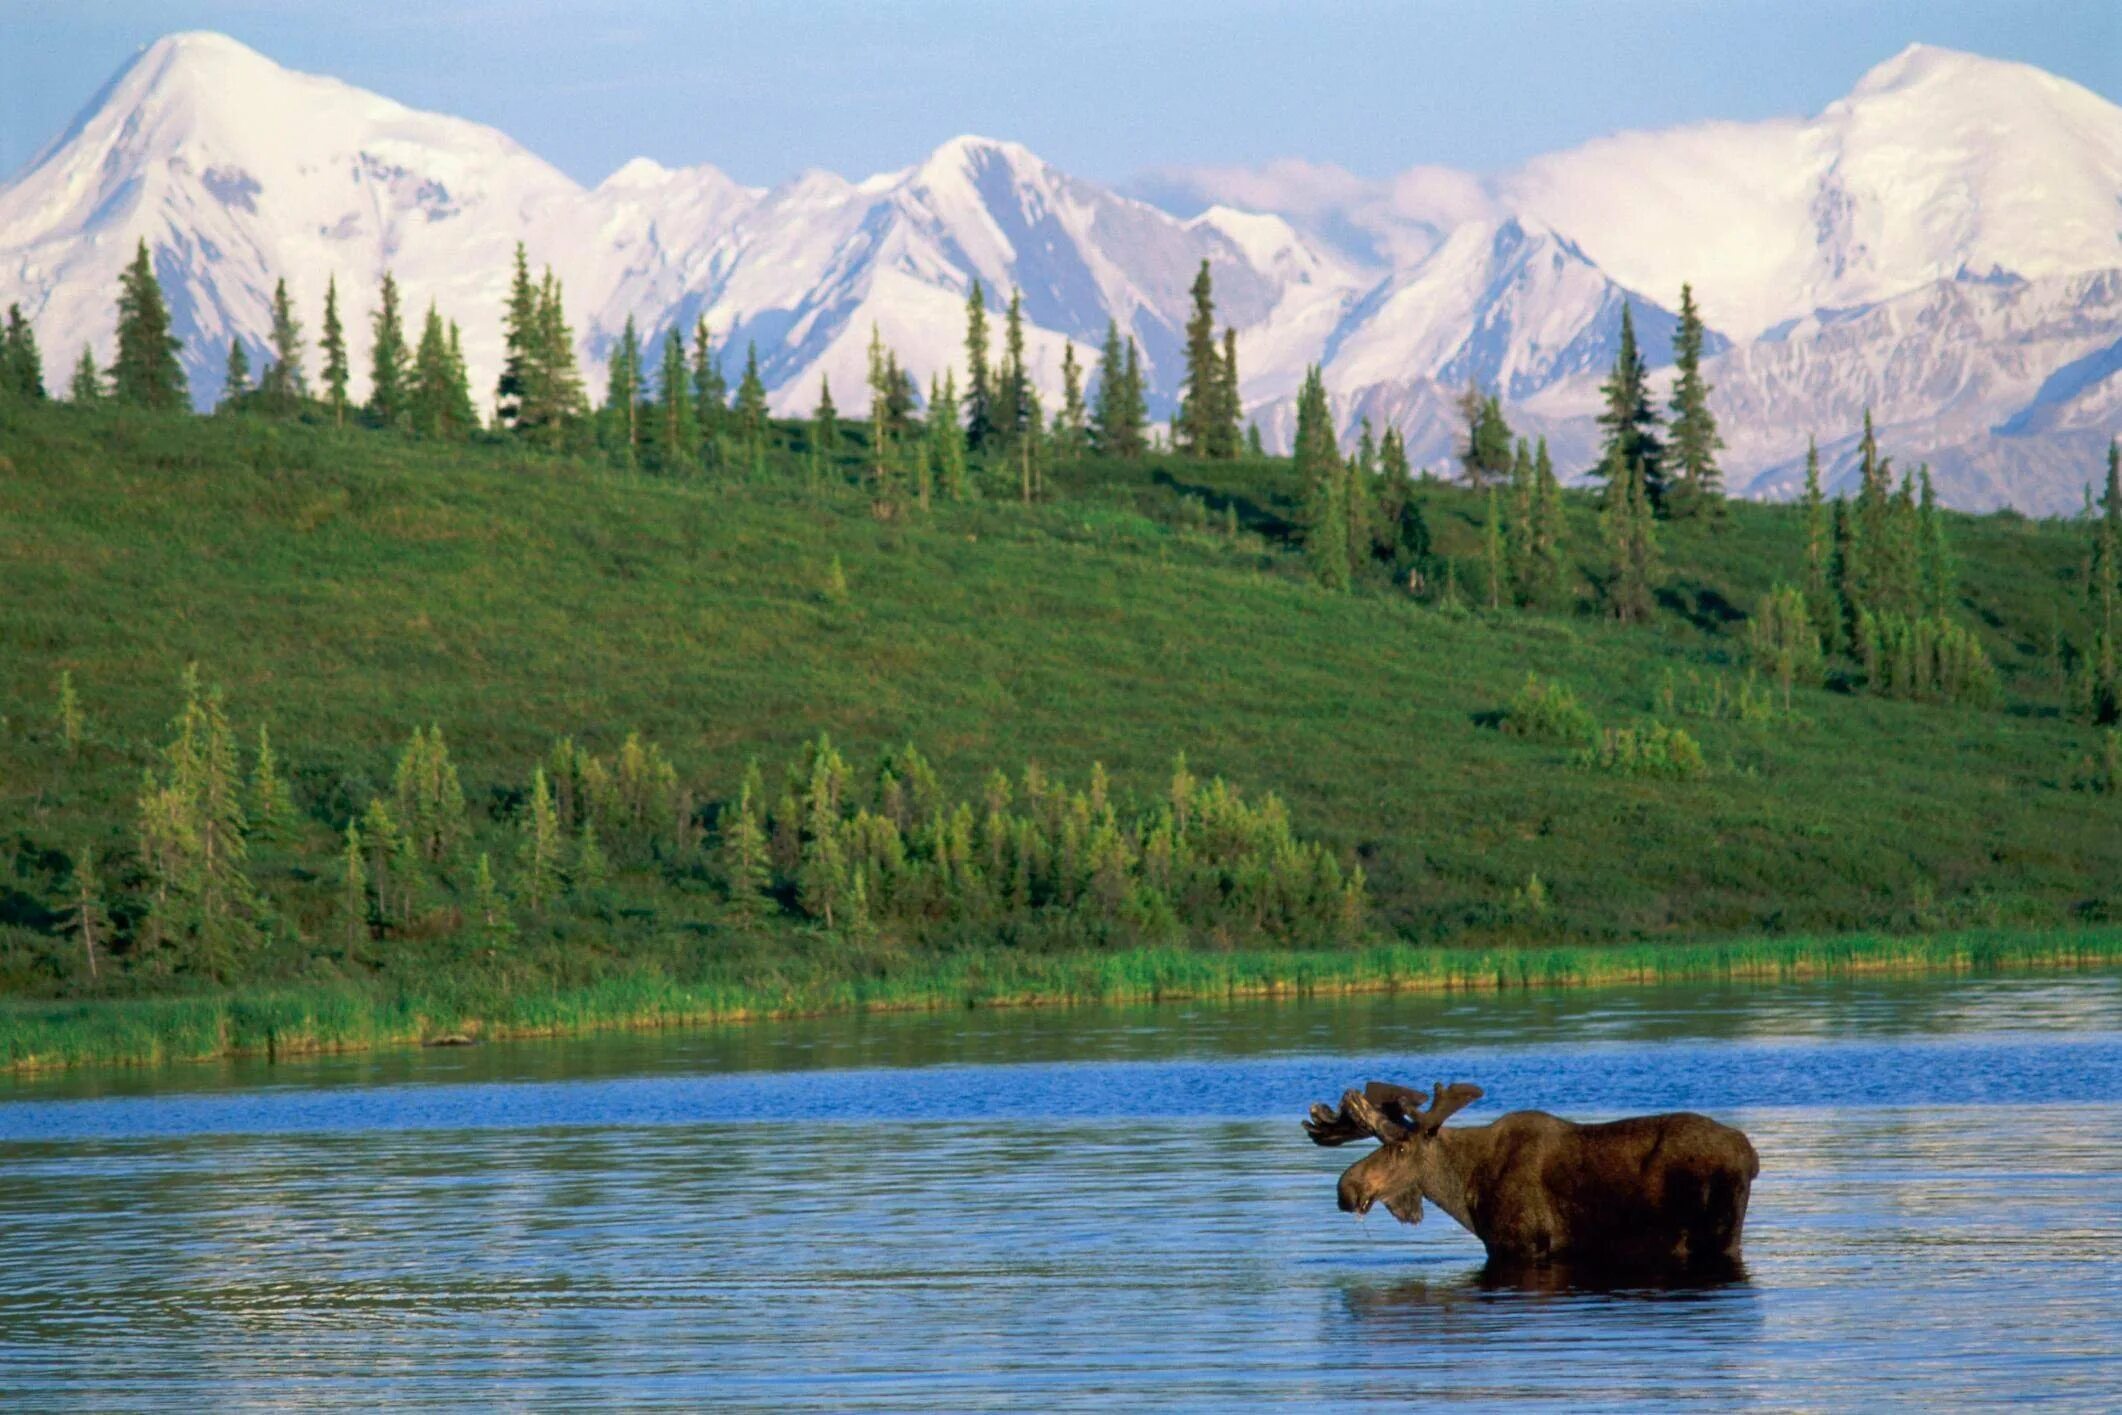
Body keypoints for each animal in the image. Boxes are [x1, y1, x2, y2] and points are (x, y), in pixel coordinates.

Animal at [1298, 1077, 1765, 1281]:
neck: (1465, 1191)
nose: (1346, 1188)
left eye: (1398, 1148)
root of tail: (1750, 1154)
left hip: (1719, 1230)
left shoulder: (1519, 1245)